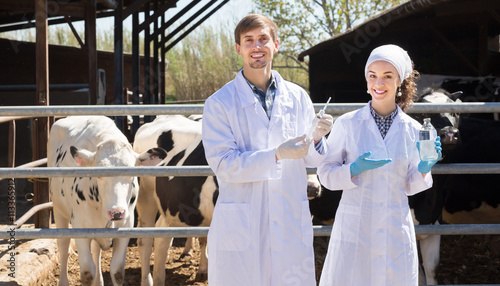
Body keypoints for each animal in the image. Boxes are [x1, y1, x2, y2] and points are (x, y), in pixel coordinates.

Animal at [47, 116, 164, 286]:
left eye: (132, 173)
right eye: (99, 173)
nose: (116, 212)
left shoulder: (126, 226)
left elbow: (117, 272)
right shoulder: (79, 227)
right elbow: (87, 273)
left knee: (96, 250)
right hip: (59, 211)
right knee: (64, 248)